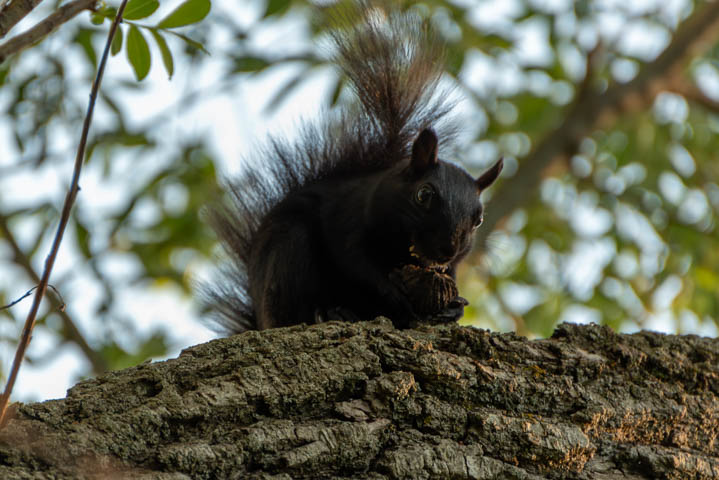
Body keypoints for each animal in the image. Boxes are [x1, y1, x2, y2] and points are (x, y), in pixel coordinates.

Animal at [204, 5, 500, 334]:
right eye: (424, 195)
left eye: (479, 219)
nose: (447, 248)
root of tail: (259, 318)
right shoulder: (346, 218)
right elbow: (355, 262)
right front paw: (392, 294)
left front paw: (454, 307)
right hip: (287, 250)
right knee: (293, 309)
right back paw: (329, 313)